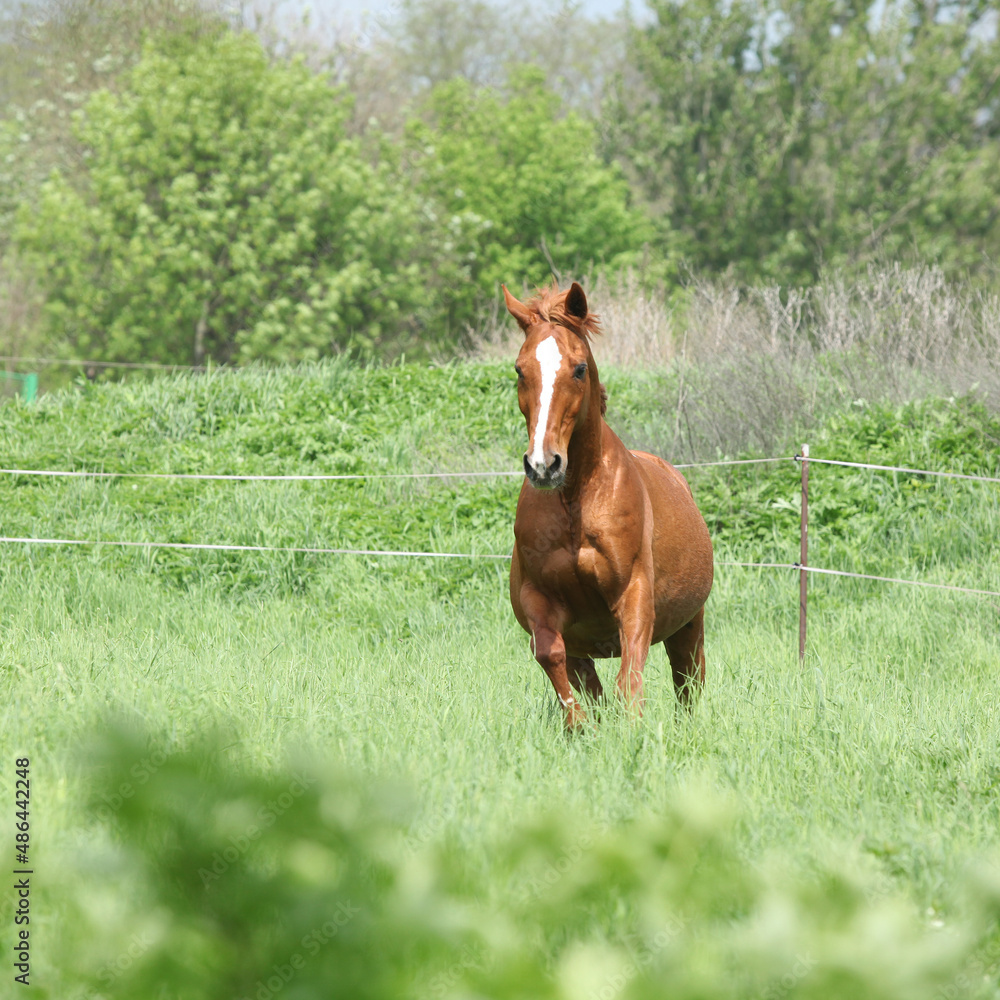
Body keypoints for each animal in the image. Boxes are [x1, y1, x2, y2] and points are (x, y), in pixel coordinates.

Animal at [504, 281, 714, 729]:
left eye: (579, 368)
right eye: (519, 369)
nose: (544, 464)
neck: (576, 503)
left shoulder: (634, 597)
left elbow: (630, 676)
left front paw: (631, 730)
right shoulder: (540, 601)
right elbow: (553, 657)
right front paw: (580, 726)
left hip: (688, 627)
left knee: (687, 683)